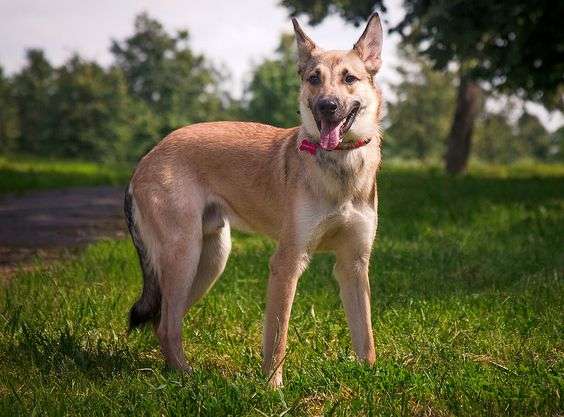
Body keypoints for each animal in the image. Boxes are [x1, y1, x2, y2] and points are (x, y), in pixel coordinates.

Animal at [125, 13, 386, 386]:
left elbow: (365, 334)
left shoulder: (353, 264)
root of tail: (148, 157)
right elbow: (277, 336)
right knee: (166, 325)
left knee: (163, 321)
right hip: (185, 256)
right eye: (314, 79)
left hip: (210, 260)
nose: (327, 106)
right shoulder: (287, 263)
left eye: (349, 78)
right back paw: (187, 377)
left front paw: (370, 376)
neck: (341, 165)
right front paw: (272, 388)